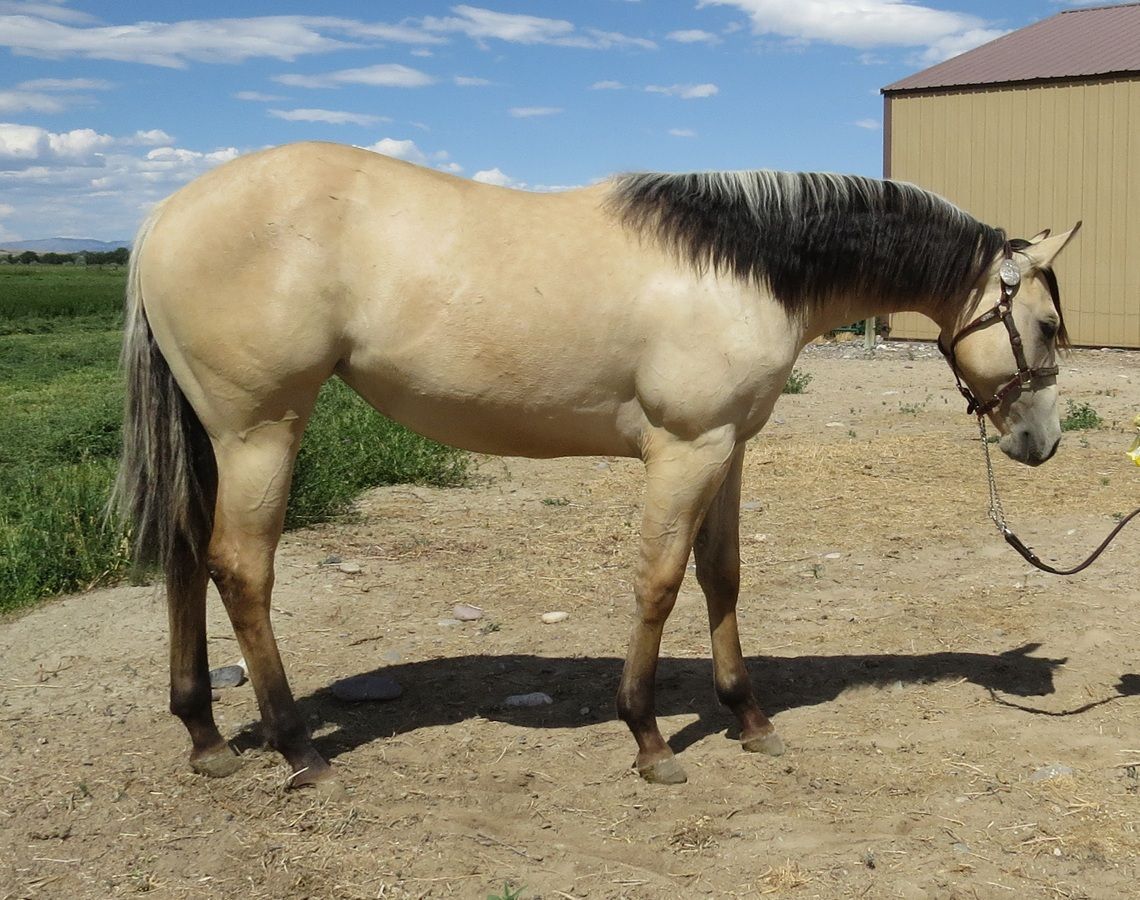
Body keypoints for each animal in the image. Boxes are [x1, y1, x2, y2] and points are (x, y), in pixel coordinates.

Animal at [116, 141, 1079, 790]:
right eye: (1043, 325)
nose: (1041, 442)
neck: (740, 265)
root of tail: (164, 212)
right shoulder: (685, 451)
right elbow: (659, 582)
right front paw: (649, 738)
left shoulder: (729, 448)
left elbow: (722, 576)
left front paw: (748, 716)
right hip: (260, 431)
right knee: (241, 569)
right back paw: (298, 747)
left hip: (214, 438)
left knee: (183, 556)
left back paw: (205, 736)